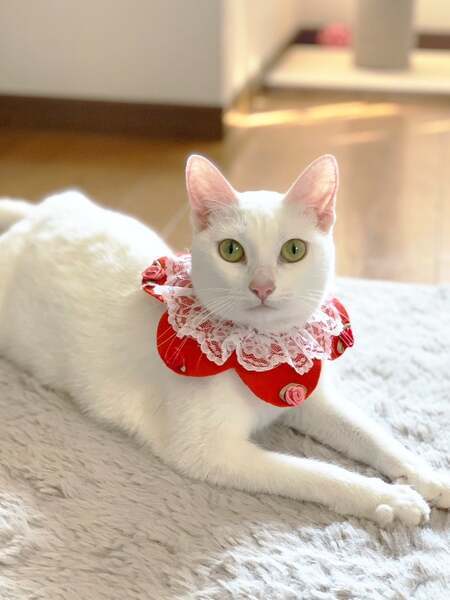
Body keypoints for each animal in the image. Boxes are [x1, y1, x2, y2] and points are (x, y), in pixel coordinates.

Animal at [0, 154, 449, 527]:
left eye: (294, 250)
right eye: (231, 250)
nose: (262, 286)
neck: (260, 355)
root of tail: (40, 214)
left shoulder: (306, 396)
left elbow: (373, 435)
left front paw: (427, 476)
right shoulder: (209, 453)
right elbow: (313, 472)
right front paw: (386, 498)